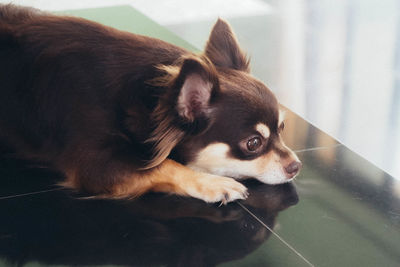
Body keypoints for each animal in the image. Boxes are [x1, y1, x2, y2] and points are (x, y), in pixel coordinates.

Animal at [0, 4, 300, 204]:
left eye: (282, 128)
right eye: (253, 143)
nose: (296, 166)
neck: (149, 99)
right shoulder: (95, 163)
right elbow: (165, 164)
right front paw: (213, 183)